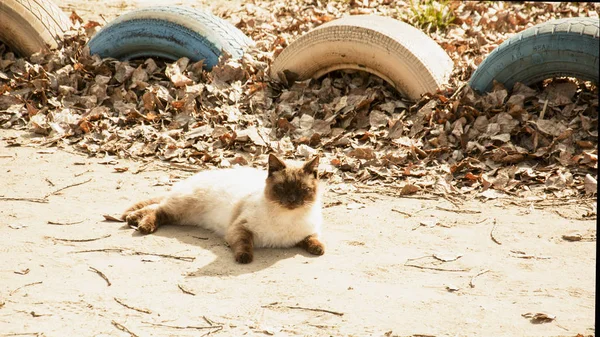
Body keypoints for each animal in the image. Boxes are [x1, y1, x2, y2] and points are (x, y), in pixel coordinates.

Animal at [122, 154, 326, 262]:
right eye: (282, 188)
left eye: (303, 190)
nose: (292, 200)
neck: (287, 218)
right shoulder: (240, 228)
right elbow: (244, 244)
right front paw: (244, 258)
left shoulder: (308, 233)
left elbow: (313, 239)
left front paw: (318, 249)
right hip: (182, 208)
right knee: (158, 209)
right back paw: (141, 225)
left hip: (182, 215)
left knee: (157, 205)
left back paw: (132, 218)